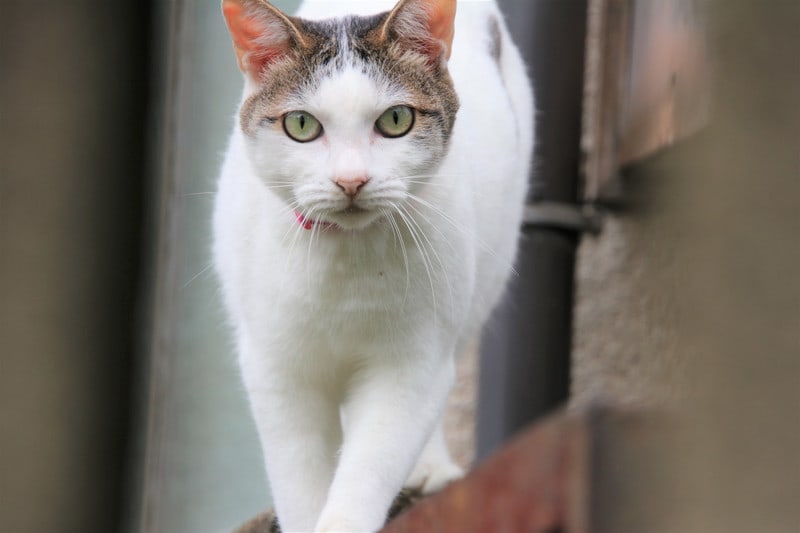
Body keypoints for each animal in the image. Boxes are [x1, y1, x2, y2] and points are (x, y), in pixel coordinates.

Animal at [216, 1, 536, 528]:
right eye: (301, 125)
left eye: (396, 119)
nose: (351, 180)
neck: (346, 265)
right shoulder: (278, 369)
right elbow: (299, 479)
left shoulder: (410, 366)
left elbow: (371, 464)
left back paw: (429, 469)